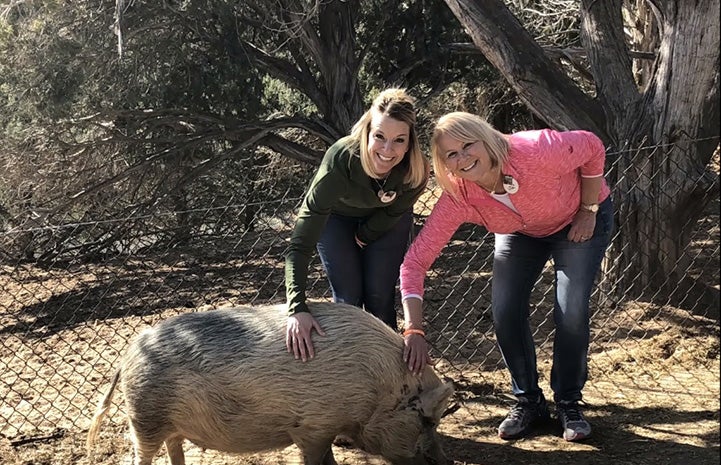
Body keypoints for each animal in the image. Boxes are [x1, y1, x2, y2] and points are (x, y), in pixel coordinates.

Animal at [87, 300, 452, 464]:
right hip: (144, 418)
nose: (446, 461)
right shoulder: (313, 426)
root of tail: (128, 354)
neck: (379, 386)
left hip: (165, 424)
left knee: (173, 447)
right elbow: (319, 459)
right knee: (142, 456)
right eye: (425, 418)